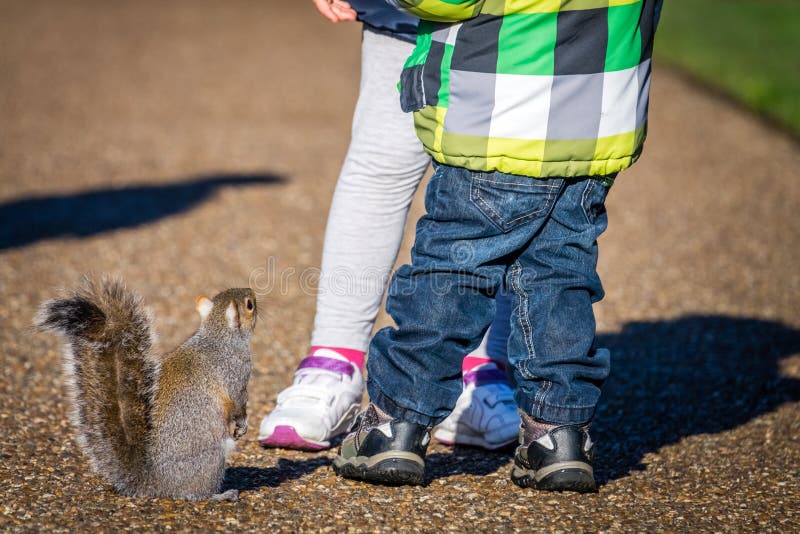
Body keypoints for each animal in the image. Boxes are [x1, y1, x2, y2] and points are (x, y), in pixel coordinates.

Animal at [35, 278, 256, 504]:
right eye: (249, 304)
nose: (251, 290)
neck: (219, 335)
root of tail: (154, 482)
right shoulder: (235, 373)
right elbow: (238, 404)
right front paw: (242, 425)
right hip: (211, 458)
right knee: (196, 494)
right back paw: (221, 495)